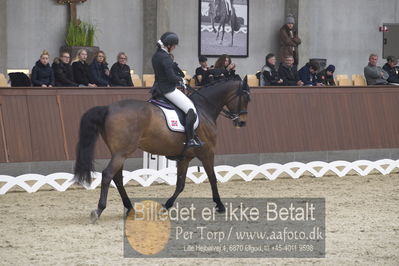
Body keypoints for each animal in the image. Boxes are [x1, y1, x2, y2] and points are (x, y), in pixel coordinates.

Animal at [74, 76, 250, 222]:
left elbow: (180, 184)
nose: (241, 122)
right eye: (246, 98)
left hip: (118, 153)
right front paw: (220, 205)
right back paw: (99, 210)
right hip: (122, 152)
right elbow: (212, 178)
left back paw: (130, 208)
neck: (204, 108)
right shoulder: (207, 153)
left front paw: (166, 205)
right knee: (108, 175)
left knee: (117, 178)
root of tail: (108, 108)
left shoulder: (185, 158)